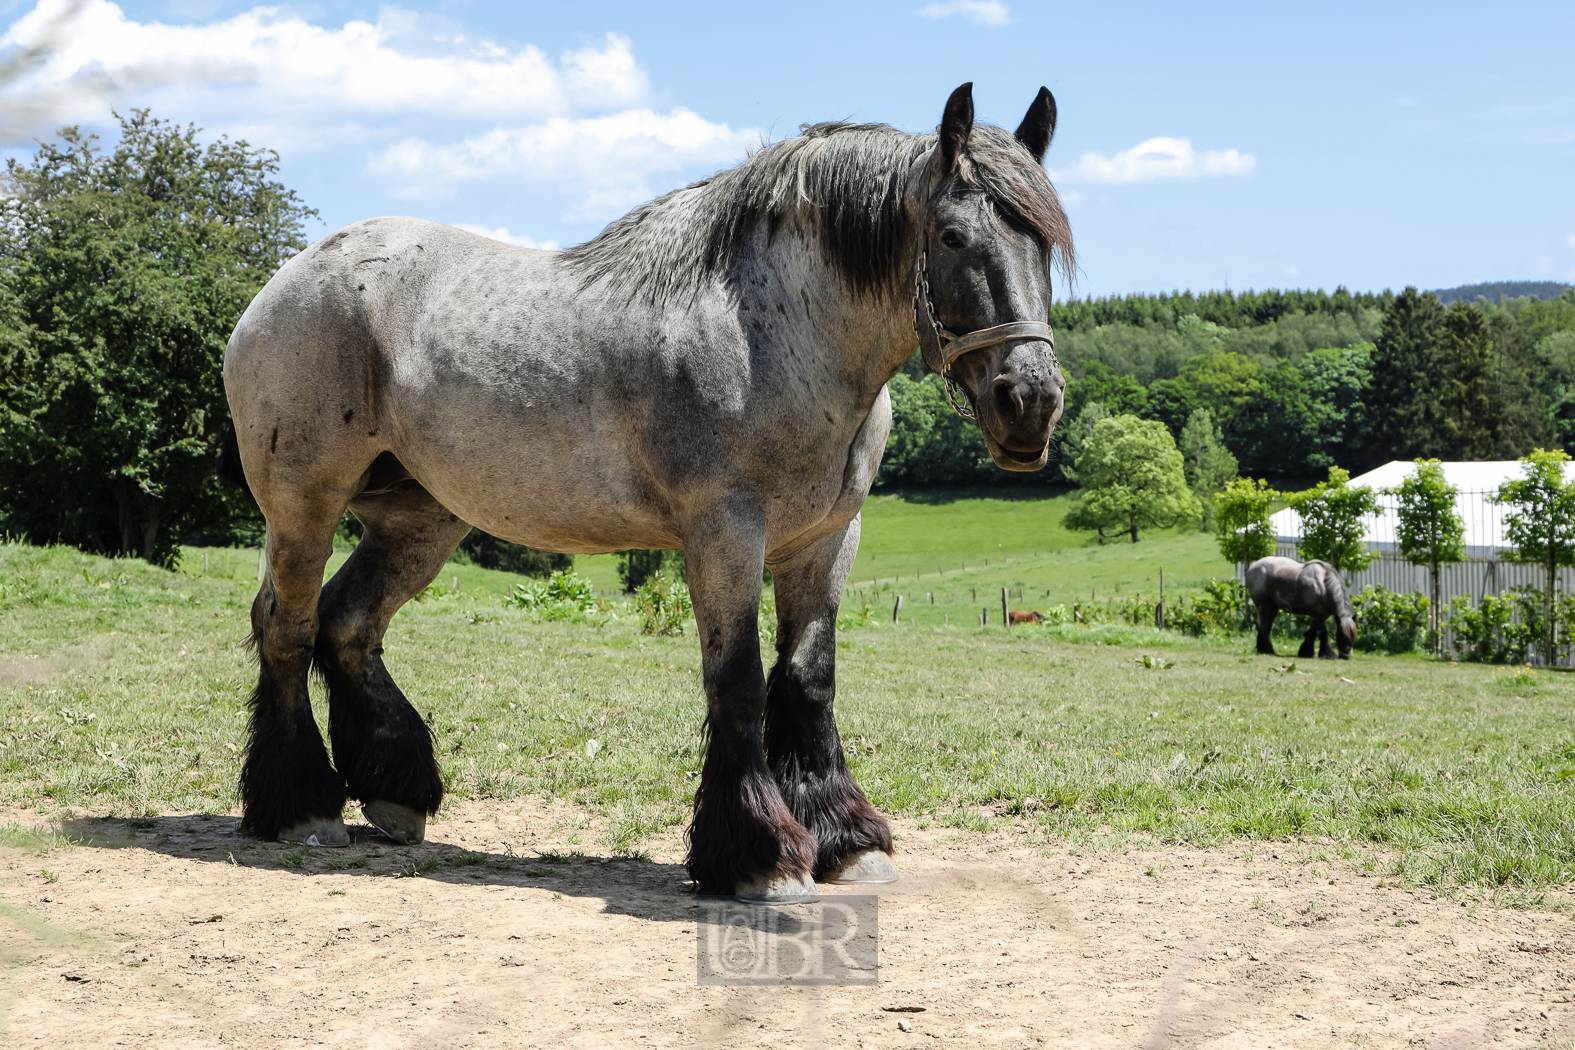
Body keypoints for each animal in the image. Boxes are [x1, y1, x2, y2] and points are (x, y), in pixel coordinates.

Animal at [222, 84, 1077, 906]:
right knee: (289, 628)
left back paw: (395, 791)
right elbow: (737, 684)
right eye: (953, 237)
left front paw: (847, 842)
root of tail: (286, 281)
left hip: (418, 521)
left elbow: (808, 679)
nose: (1029, 402)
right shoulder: (725, 533)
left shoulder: (828, 538)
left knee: (348, 623)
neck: (773, 333)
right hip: (304, 505)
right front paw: (760, 857)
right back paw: (303, 807)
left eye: (1045, 242)